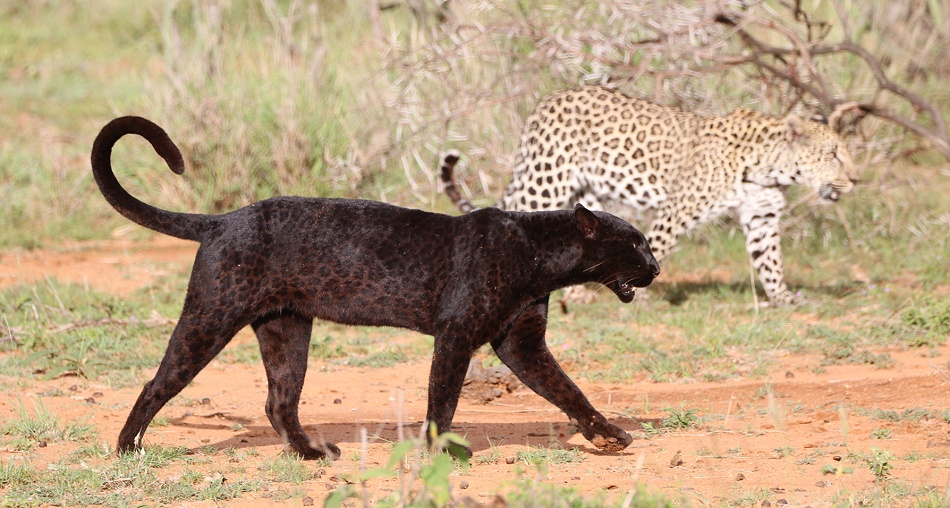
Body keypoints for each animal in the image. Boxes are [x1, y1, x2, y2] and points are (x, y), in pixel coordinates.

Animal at [441, 85, 858, 305]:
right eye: (832, 154)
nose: (855, 180)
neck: (771, 168)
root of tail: (549, 100)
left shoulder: (762, 216)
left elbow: (770, 262)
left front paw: (784, 299)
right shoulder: (676, 210)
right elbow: (653, 249)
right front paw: (638, 298)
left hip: (586, 195)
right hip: (546, 180)